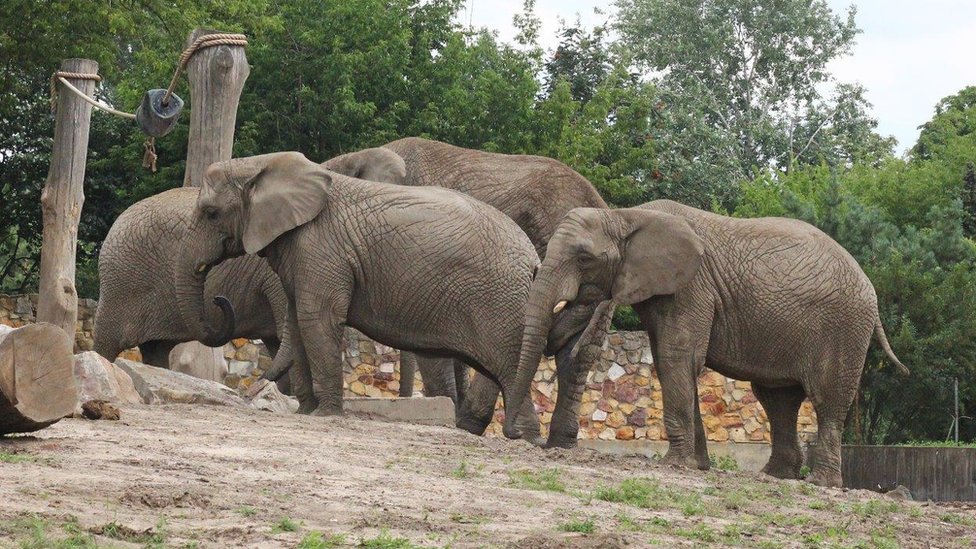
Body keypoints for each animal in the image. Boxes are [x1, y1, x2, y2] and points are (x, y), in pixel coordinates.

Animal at [174, 150, 556, 440]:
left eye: (210, 213)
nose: (246, 394)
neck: (260, 164)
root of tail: (534, 259)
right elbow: (298, 320)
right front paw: (307, 412)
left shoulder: (321, 247)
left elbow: (317, 318)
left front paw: (325, 415)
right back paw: (524, 436)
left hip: (500, 302)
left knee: (509, 366)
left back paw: (522, 437)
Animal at [508, 199, 912, 486]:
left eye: (584, 258)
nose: (518, 437)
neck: (625, 216)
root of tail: (869, 286)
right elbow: (670, 360)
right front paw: (697, 466)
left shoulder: (691, 286)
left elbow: (678, 357)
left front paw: (677, 464)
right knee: (777, 399)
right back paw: (775, 477)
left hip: (843, 328)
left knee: (826, 399)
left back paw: (820, 483)